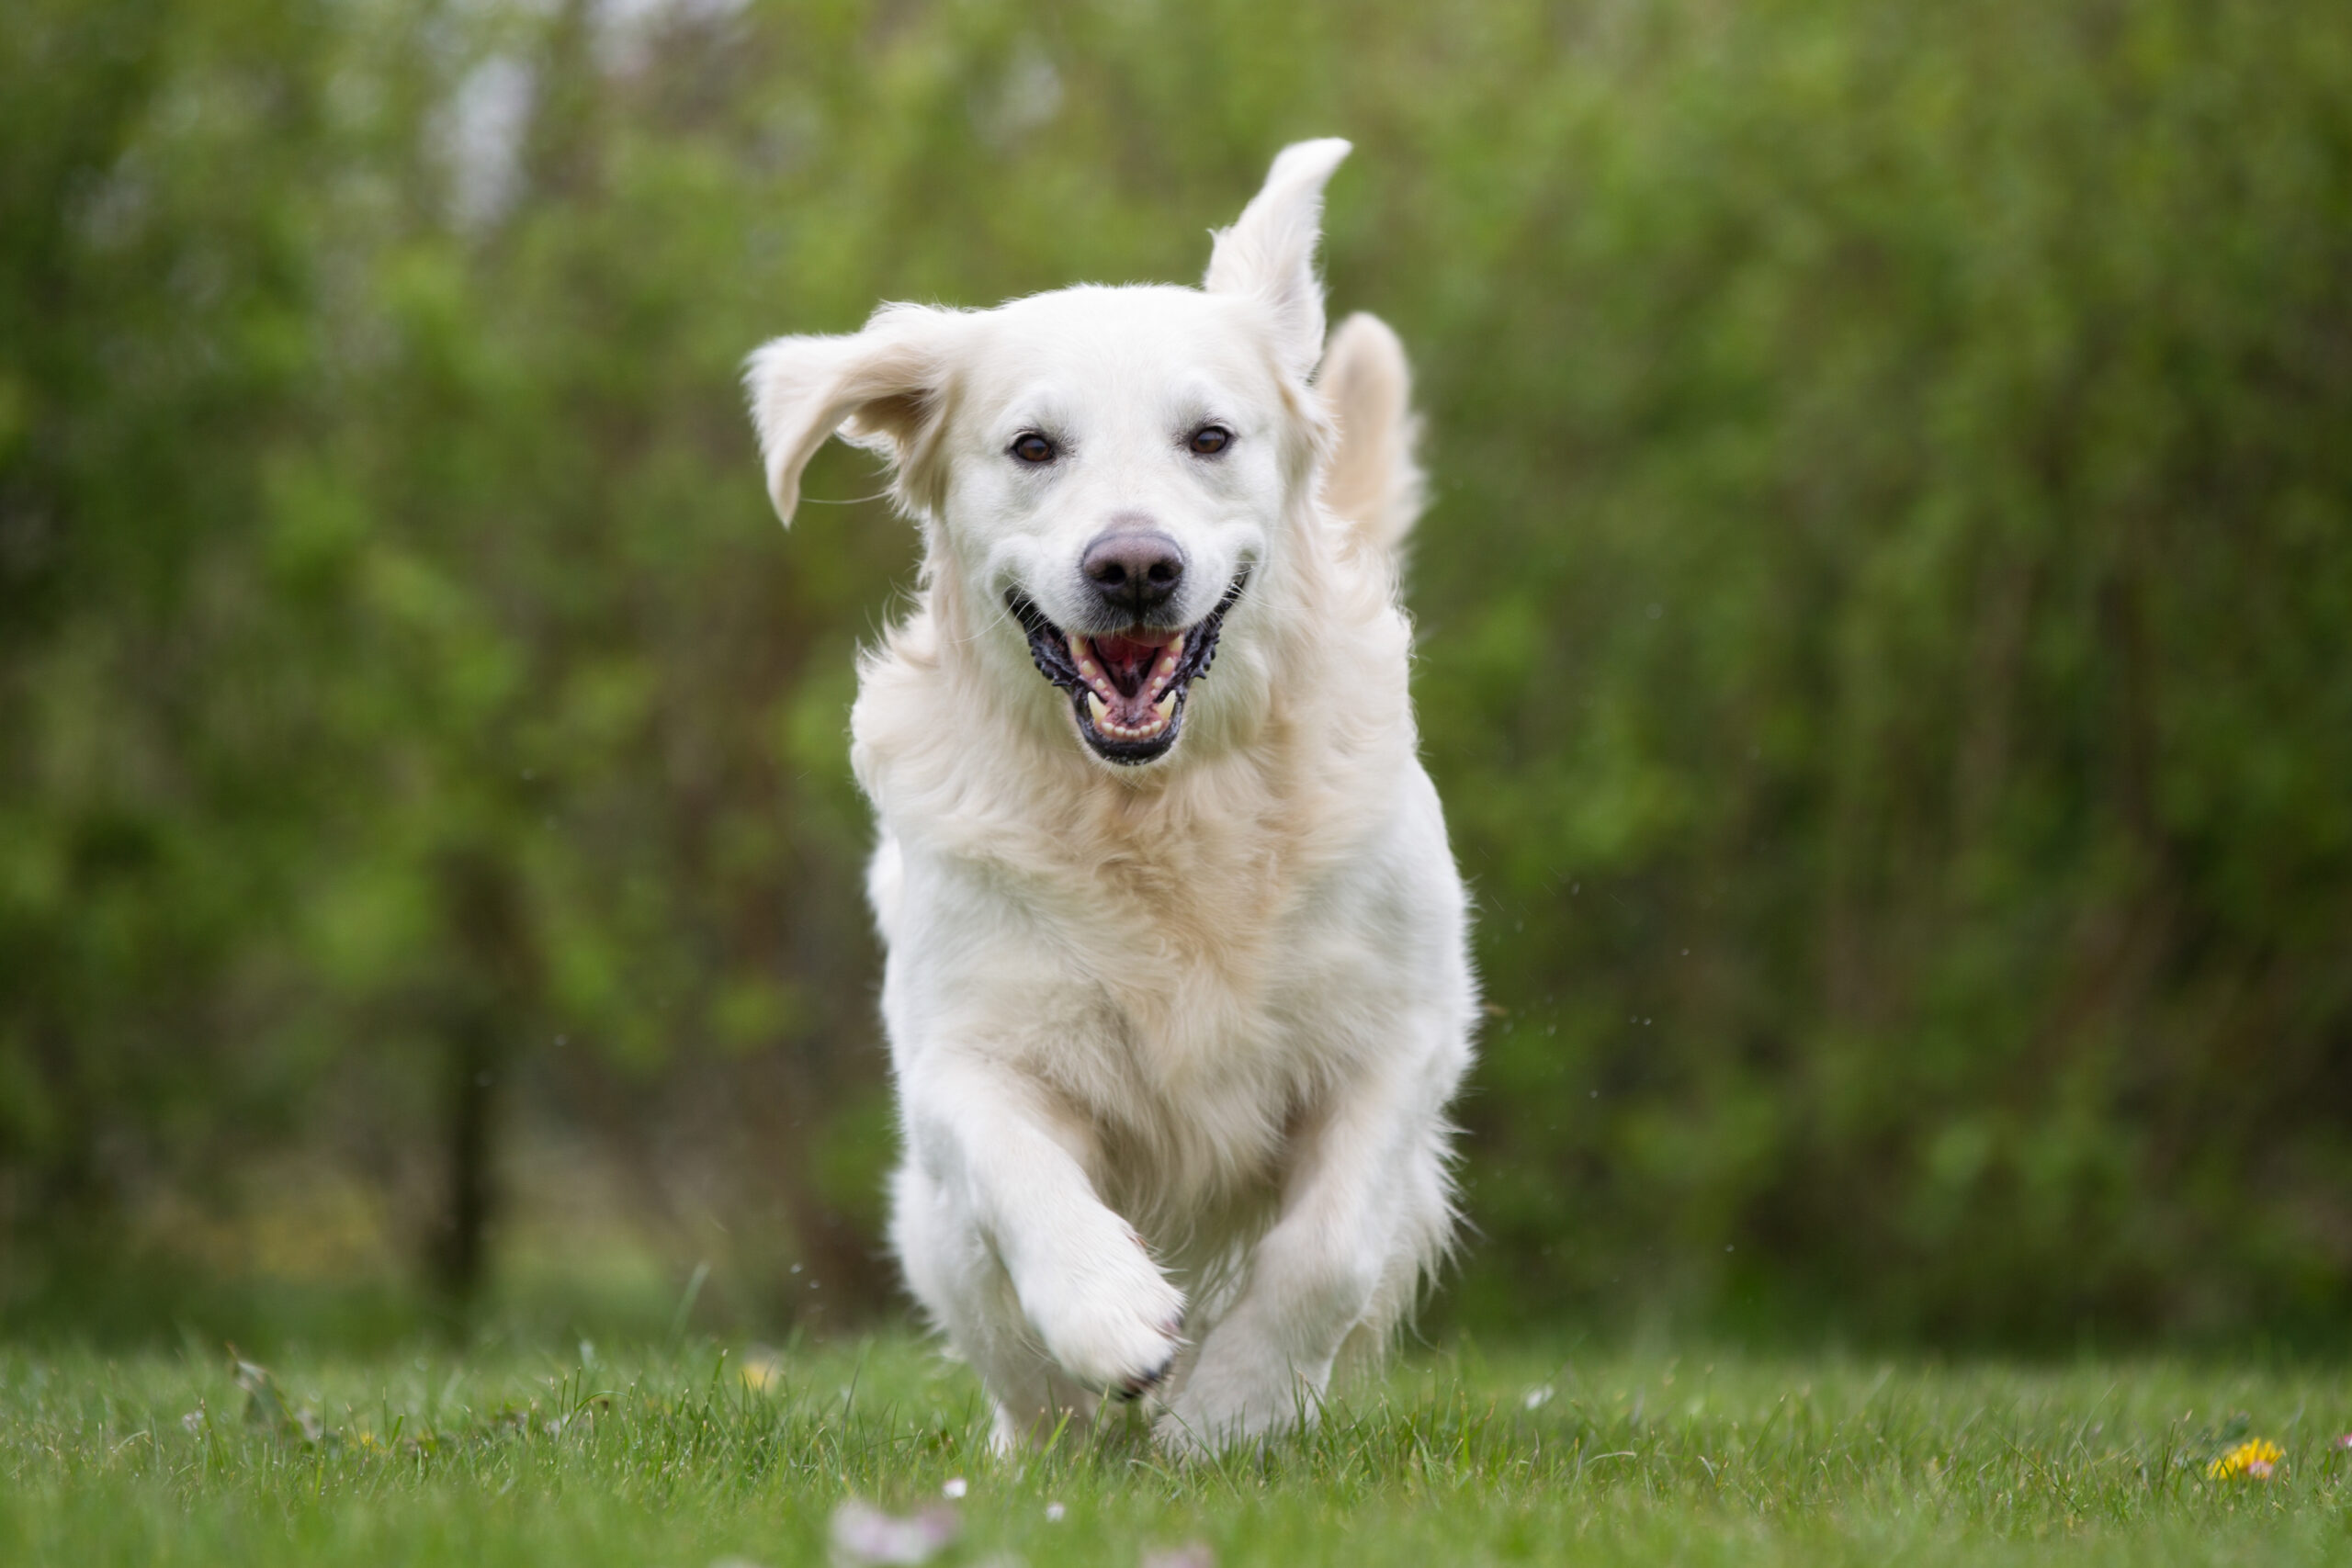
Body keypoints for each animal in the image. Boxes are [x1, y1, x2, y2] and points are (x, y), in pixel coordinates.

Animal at [748, 141, 1467, 1457]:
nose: (1134, 566)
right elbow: (1022, 1171)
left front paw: (1228, 1410)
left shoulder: (1404, 1032)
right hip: (935, 1234)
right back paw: (1054, 1438)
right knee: (1011, 1361)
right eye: (1033, 447)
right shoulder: (962, 1046)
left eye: (1210, 436)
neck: (1159, 806)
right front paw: (1111, 1316)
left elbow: (1325, 1251)